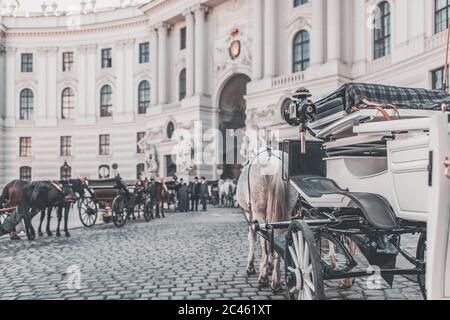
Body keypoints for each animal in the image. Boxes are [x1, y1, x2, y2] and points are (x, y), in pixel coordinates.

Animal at [236, 149, 298, 292]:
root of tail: (273, 160)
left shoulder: (250, 215)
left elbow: (253, 239)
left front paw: (251, 267)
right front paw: (270, 266)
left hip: (260, 213)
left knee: (265, 242)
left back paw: (264, 277)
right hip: (286, 211)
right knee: (279, 235)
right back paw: (276, 279)